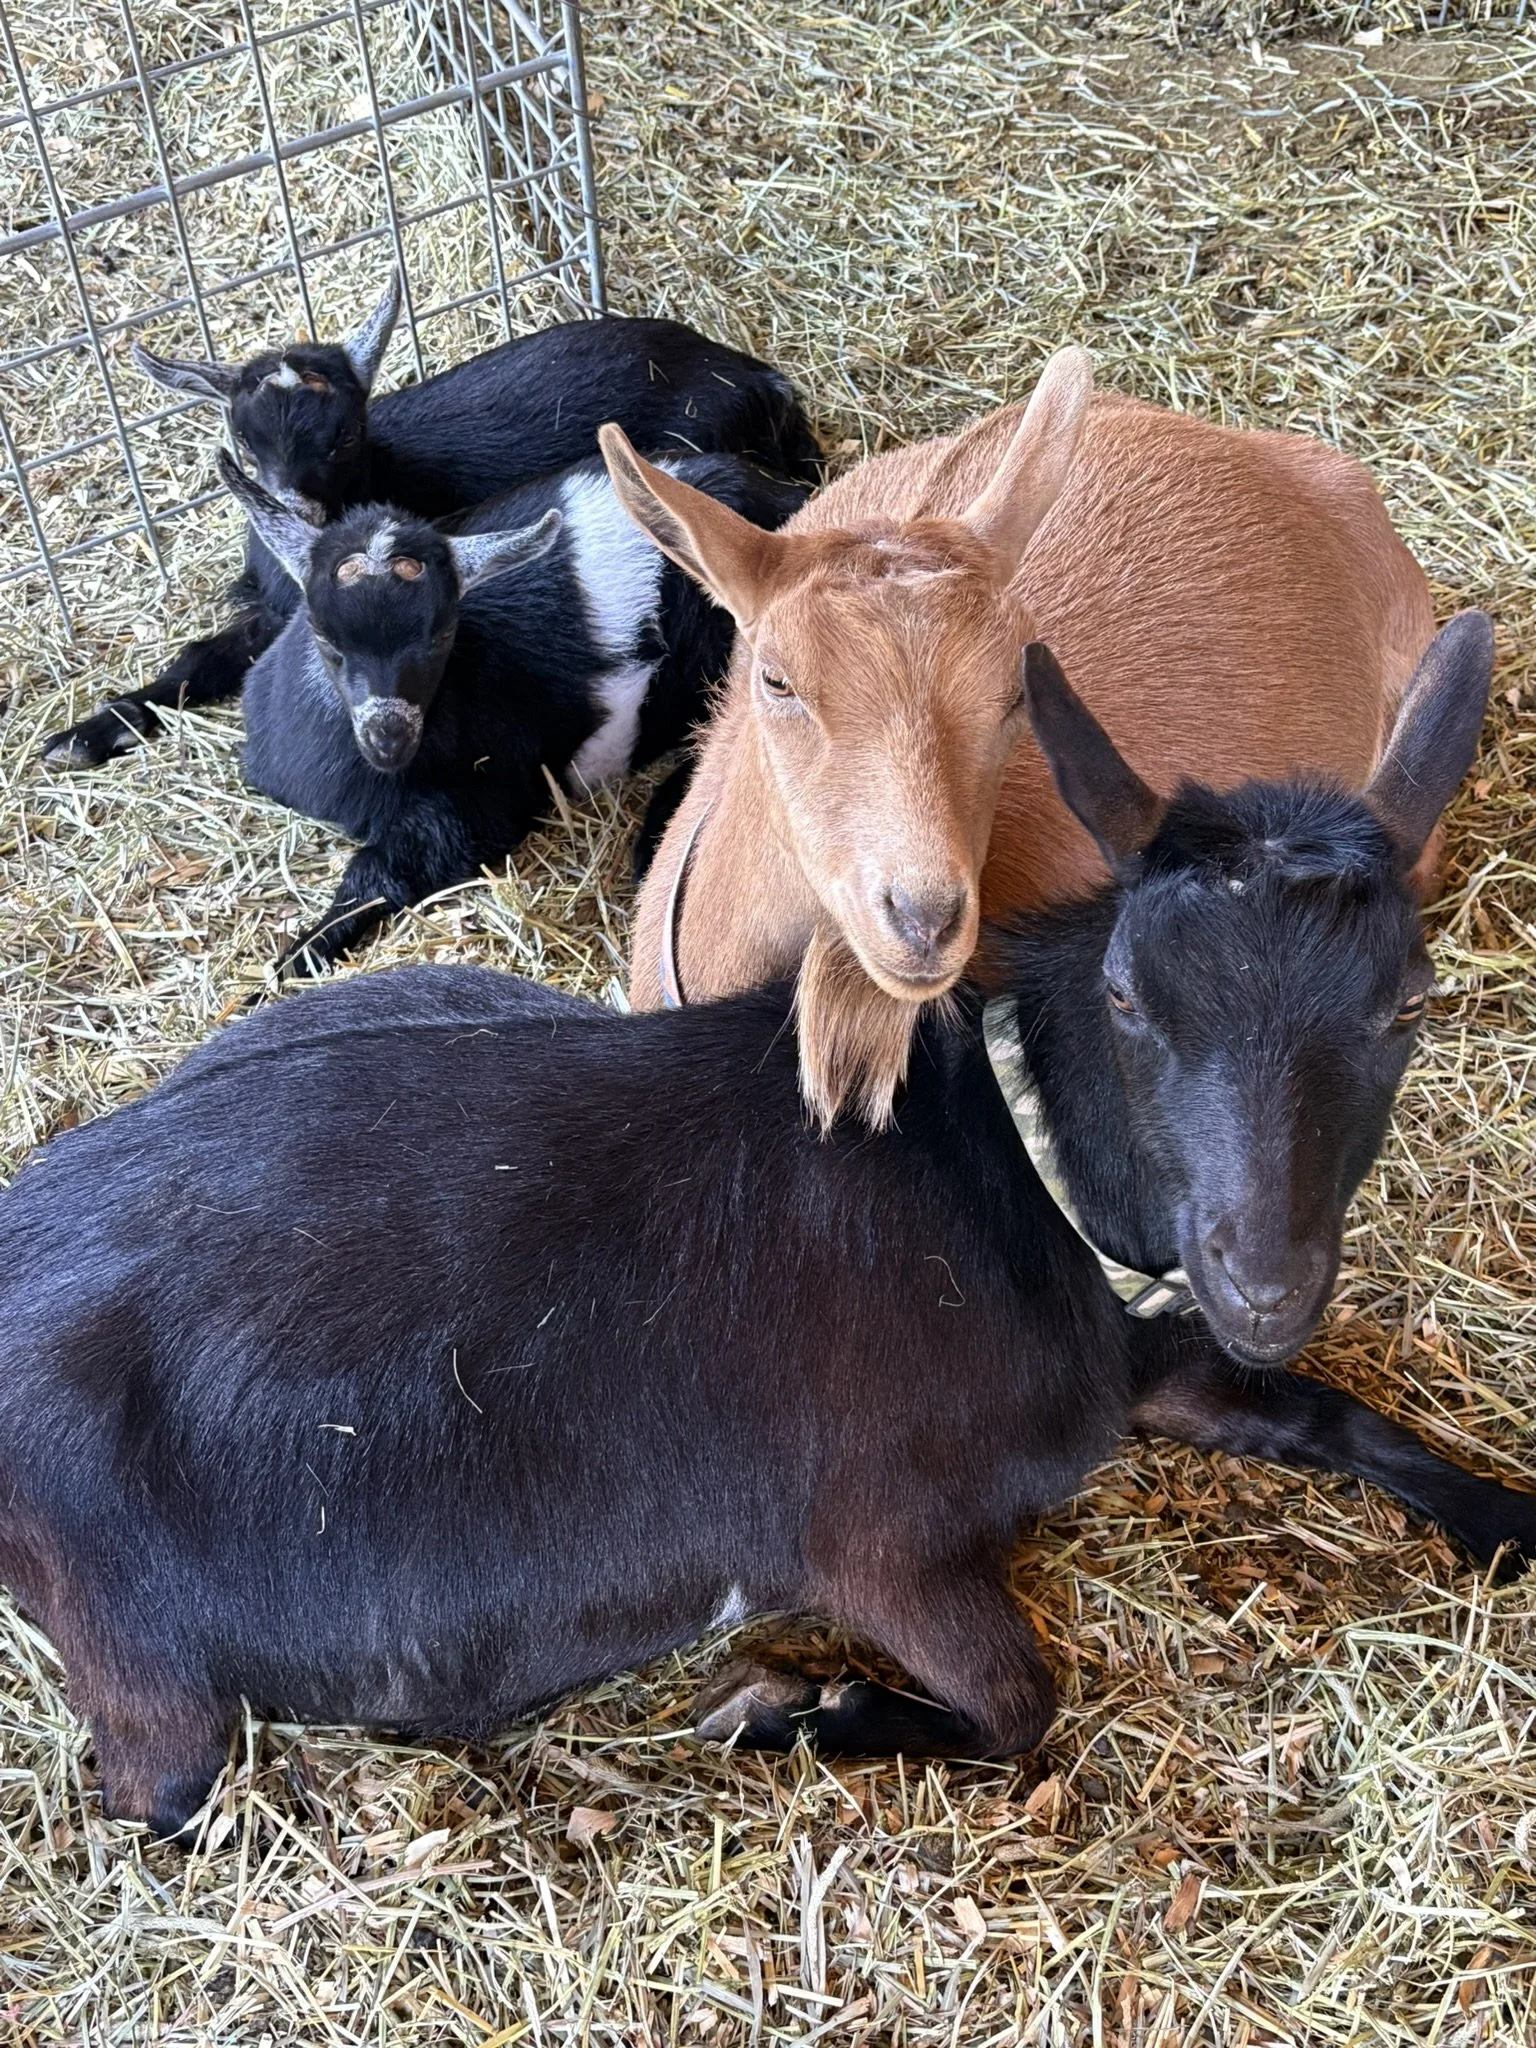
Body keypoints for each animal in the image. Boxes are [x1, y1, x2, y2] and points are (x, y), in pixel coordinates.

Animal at [1, 608, 1523, 1842]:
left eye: (1410, 1002)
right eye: (1132, 996)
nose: (1267, 1281)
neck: (1016, 1181)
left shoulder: (1139, 1345)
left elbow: (1317, 1411)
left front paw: (1502, 1516)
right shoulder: (874, 1535)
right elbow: (1019, 1699)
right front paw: (794, 1711)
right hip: (143, 1645)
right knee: (159, 1789)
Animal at [42, 276, 821, 768]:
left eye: (345, 435)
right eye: (242, 441)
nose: (297, 509)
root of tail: (759, 379)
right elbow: (200, 656)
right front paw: (89, 733)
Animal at [222, 448, 808, 973]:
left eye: (441, 634)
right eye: (324, 634)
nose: (388, 739)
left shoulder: (482, 803)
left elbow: (382, 871)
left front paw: (297, 957)